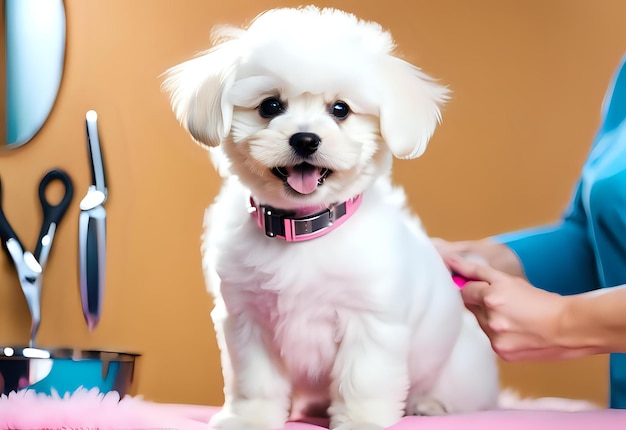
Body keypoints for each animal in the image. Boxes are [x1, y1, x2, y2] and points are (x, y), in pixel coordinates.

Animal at [165, 6, 498, 430]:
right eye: (270, 107)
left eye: (341, 110)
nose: (305, 139)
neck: (304, 228)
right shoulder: (247, 320)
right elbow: (256, 381)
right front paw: (250, 418)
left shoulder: (370, 321)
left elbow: (362, 379)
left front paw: (360, 421)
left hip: (460, 371)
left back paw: (431, 404)